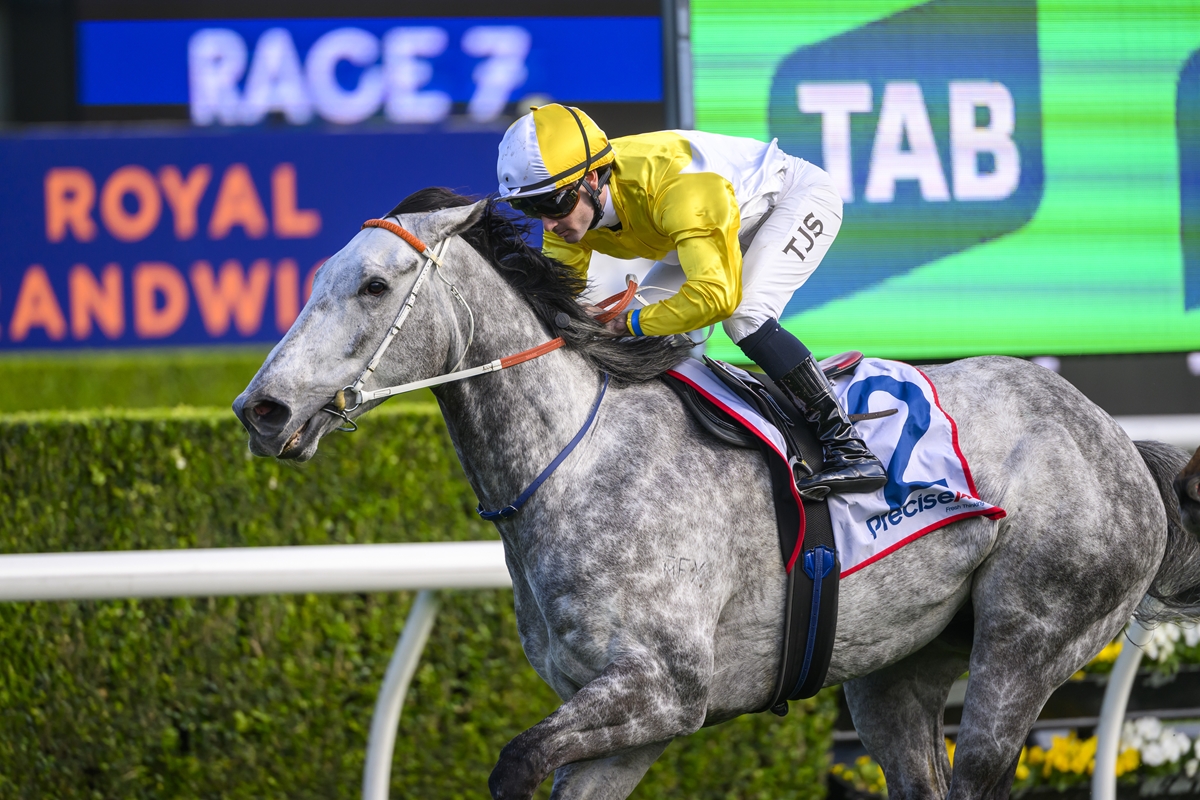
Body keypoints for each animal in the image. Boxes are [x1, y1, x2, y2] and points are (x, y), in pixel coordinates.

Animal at [234, 188, 1200, 800]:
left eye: (373, 286)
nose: (260, 408)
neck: (576, 461)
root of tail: (1117, 438)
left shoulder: (664, 689)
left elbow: (514, 764)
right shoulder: (632, 719)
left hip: (1029, 641)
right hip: (897, 670)